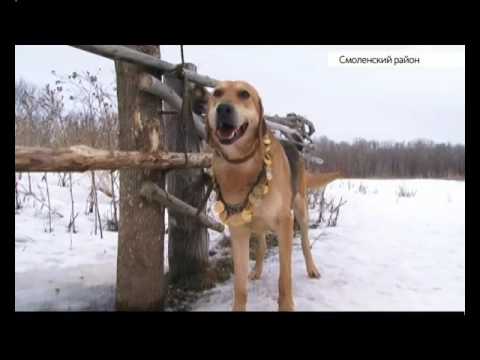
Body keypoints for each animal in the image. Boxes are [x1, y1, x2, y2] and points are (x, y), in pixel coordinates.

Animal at [206, 80, 342, 310]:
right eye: (217, 93)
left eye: (244, 94)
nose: (223, 108)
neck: (242, 166)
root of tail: (295, 146)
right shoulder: (238, 229)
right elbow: (239, 286)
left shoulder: (284, 223)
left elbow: (284, 278)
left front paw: (286, 305)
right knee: (261, 245)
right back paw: (257, 270)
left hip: (300, 209)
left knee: (305, 243)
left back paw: (311, 268)